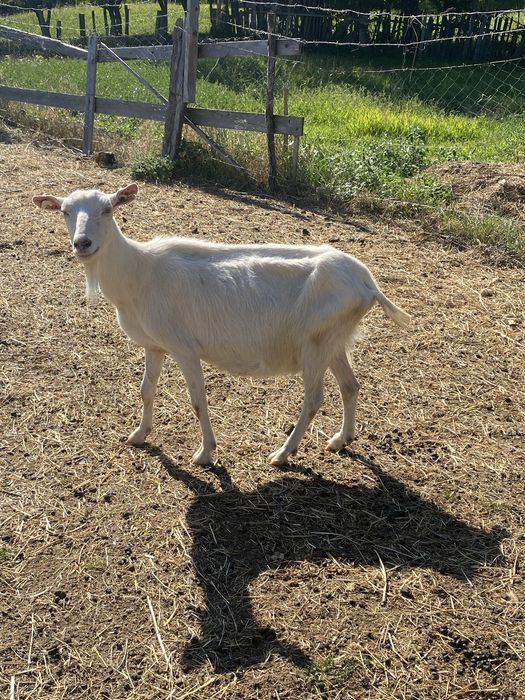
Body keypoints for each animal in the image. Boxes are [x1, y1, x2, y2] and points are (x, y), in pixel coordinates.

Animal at [33, 183, 411, 466]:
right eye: (65, 211)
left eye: (108, 209)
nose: (82, 243)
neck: (138, 274)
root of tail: (368, 283)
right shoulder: (155, 345)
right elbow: (146, 390)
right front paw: (139, 435)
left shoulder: (184, 347)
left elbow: (198, 399)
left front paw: (204, 454)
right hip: (335, 340)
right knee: (350, 386)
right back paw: (340, 440)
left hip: (315, 344)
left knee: (314, 399)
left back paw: (282, 453)